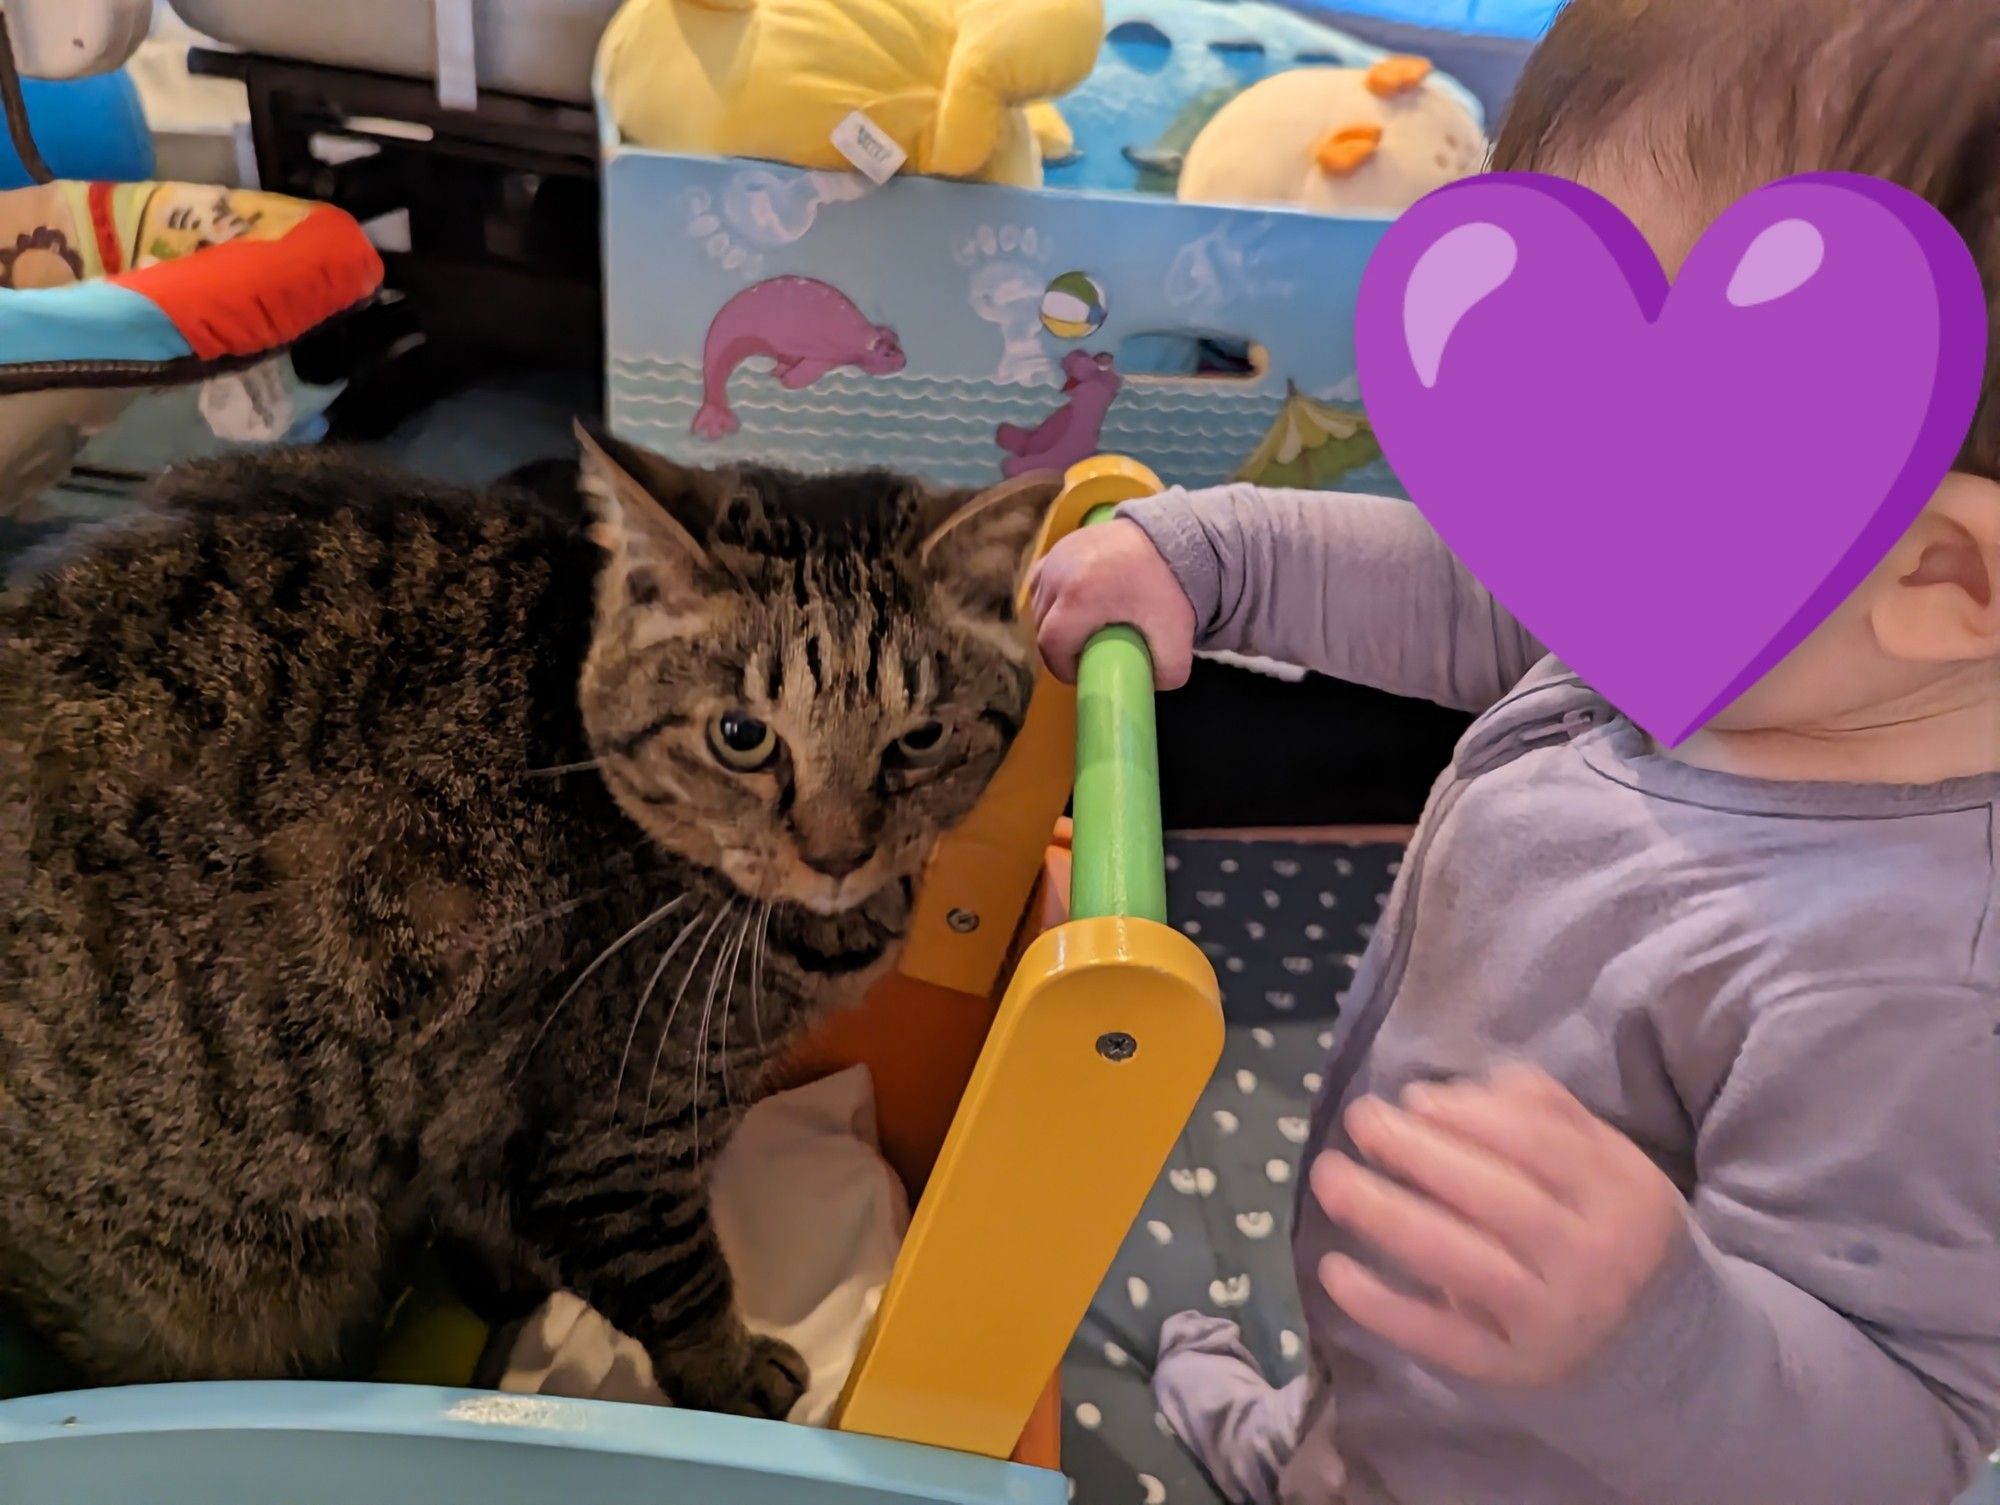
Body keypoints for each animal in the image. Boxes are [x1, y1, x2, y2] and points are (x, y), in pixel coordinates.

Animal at [0, 426, 1064, 1424]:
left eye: (920, 739)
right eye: (742, 736)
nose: (840, 856)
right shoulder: (610, 1140)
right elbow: (679, 1281)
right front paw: (736, 1377)